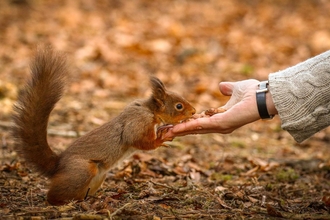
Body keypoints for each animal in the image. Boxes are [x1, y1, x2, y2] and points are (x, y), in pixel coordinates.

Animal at [12, 47, 196, 205]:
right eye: (179, 106)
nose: (194, 111)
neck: (150, 110)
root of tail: (58, 165)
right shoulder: (137, 121)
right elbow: (136, 139)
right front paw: (160, 138)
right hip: (82, 171)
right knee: (54, 194)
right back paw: (61, 202)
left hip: (98, 177)